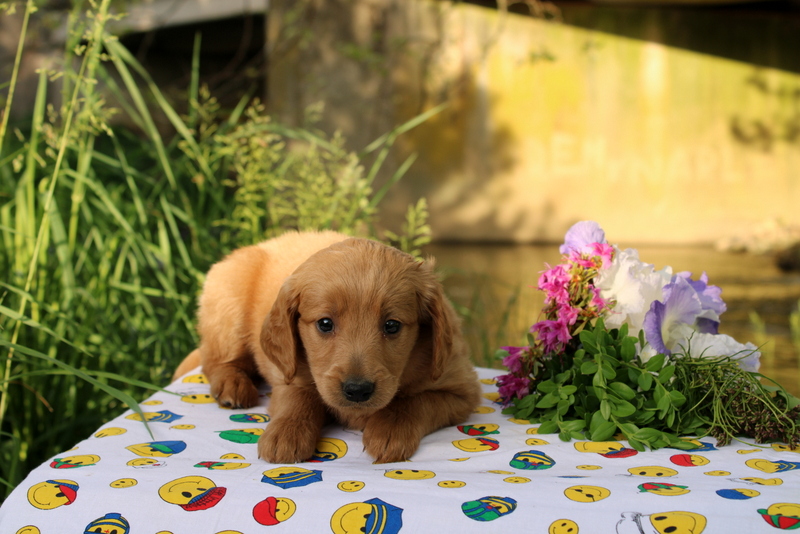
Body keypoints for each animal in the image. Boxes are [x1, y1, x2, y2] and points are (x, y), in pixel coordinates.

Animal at [173, 231, 482, 464]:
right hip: (228, 307)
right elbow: (298, 398)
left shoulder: (461, 389)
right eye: (324, 323)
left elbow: (414, 402)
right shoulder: (288, 371)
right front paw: (286, 433)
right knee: (214, 359)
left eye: (392, 325)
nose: (357, 390)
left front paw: (389, 430)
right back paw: (232, 385)